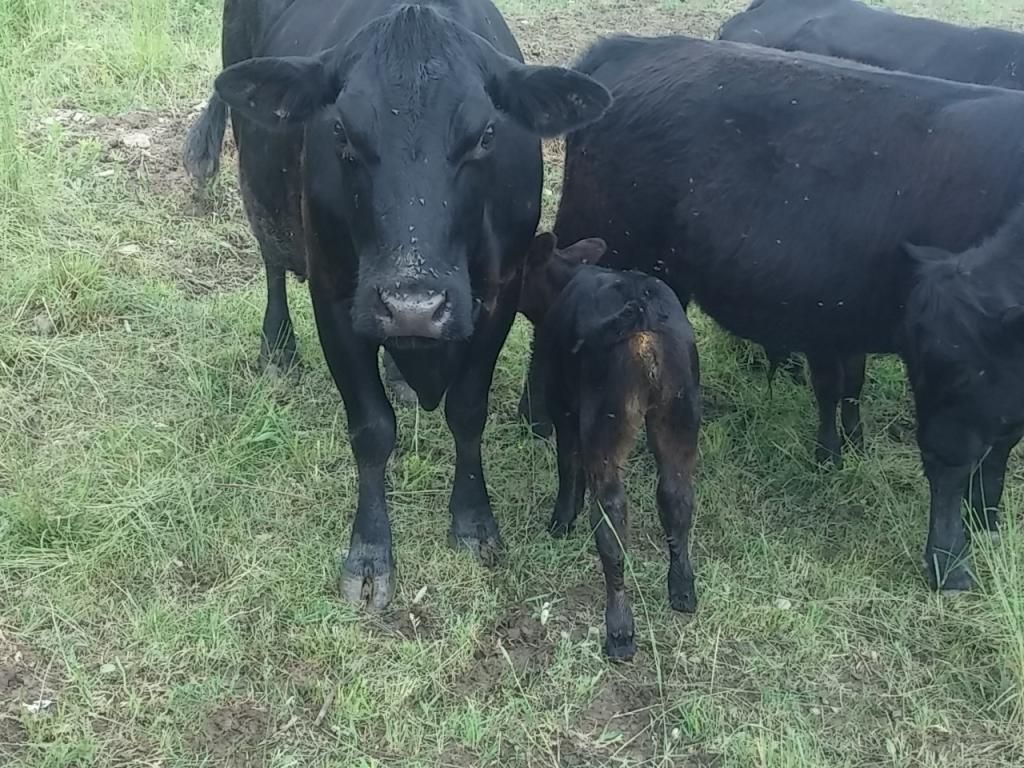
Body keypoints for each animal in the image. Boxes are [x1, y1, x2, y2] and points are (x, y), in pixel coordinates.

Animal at [183, 0, 611, 609]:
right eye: (341, 130)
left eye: (486, 134)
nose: (413, 305)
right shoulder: (336, 298)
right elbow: (371, 428)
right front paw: (369, 554)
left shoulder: (500, 293)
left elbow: (468, 411)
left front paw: (474, 523)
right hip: (259, 173)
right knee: (271, 256)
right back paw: (278, 348)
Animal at [519, 33, 1024, 592]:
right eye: (941, 365)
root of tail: (632, 46)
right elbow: (957, 464)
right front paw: (950, 560)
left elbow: (996, 446)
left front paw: (988, 519)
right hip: (600, 235)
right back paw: (534, 420)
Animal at [520, 233, 700, 660]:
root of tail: (644, 317)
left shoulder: (564, 407)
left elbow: (568, 468)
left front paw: (560, 522)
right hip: (680, 415)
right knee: (677, 497)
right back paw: (682, 589)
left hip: (605, 423)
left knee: (612, 517)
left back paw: (620, 630)